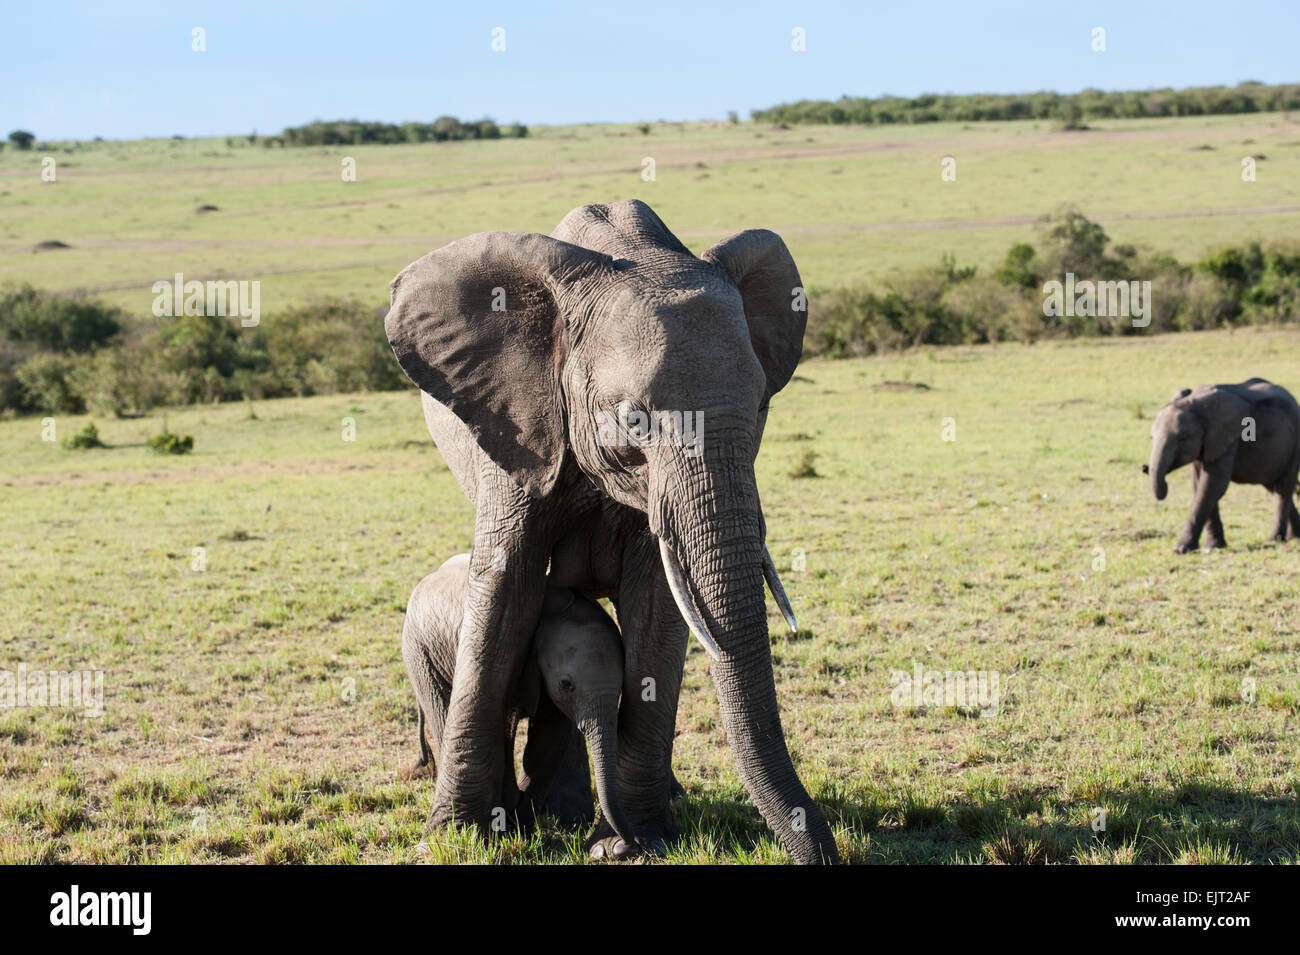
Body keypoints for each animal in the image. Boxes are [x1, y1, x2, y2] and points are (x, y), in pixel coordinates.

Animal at [397, 553, 637, 852]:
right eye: (567, 685)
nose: (626, 844)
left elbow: (549, 738)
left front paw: (521, 825)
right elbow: (501, 727)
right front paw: (508, 819)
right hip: (419, 652)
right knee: (445, 714)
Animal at [1144, 376, 1294, 548]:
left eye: (1182, 437)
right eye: (1152, 437)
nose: (1144, 467)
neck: (1194, 404)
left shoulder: (1227, 437)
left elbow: (1213, 484)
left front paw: (1181, 549)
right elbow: (1199, 483)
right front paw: (1213, 547)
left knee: (1283, 488)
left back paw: (1274, 540)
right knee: (1274, 487)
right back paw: (1294, 536)